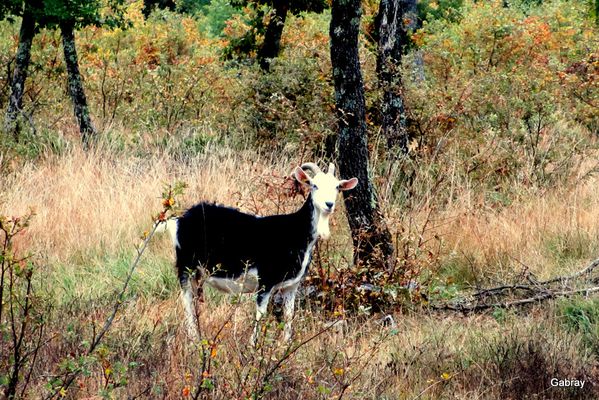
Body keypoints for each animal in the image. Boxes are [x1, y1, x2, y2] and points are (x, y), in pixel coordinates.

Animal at [159, 161, 358, 342]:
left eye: (337, 187)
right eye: (314, 185)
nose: (329, 204)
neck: (295, 231)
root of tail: (180, 220)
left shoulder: (292, 286)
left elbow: (289, 316)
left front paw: (285, 345)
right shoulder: (265, 282)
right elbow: (260, 316)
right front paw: (253, 348)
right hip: (186, 267)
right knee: (186, 301)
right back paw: (194, 339)